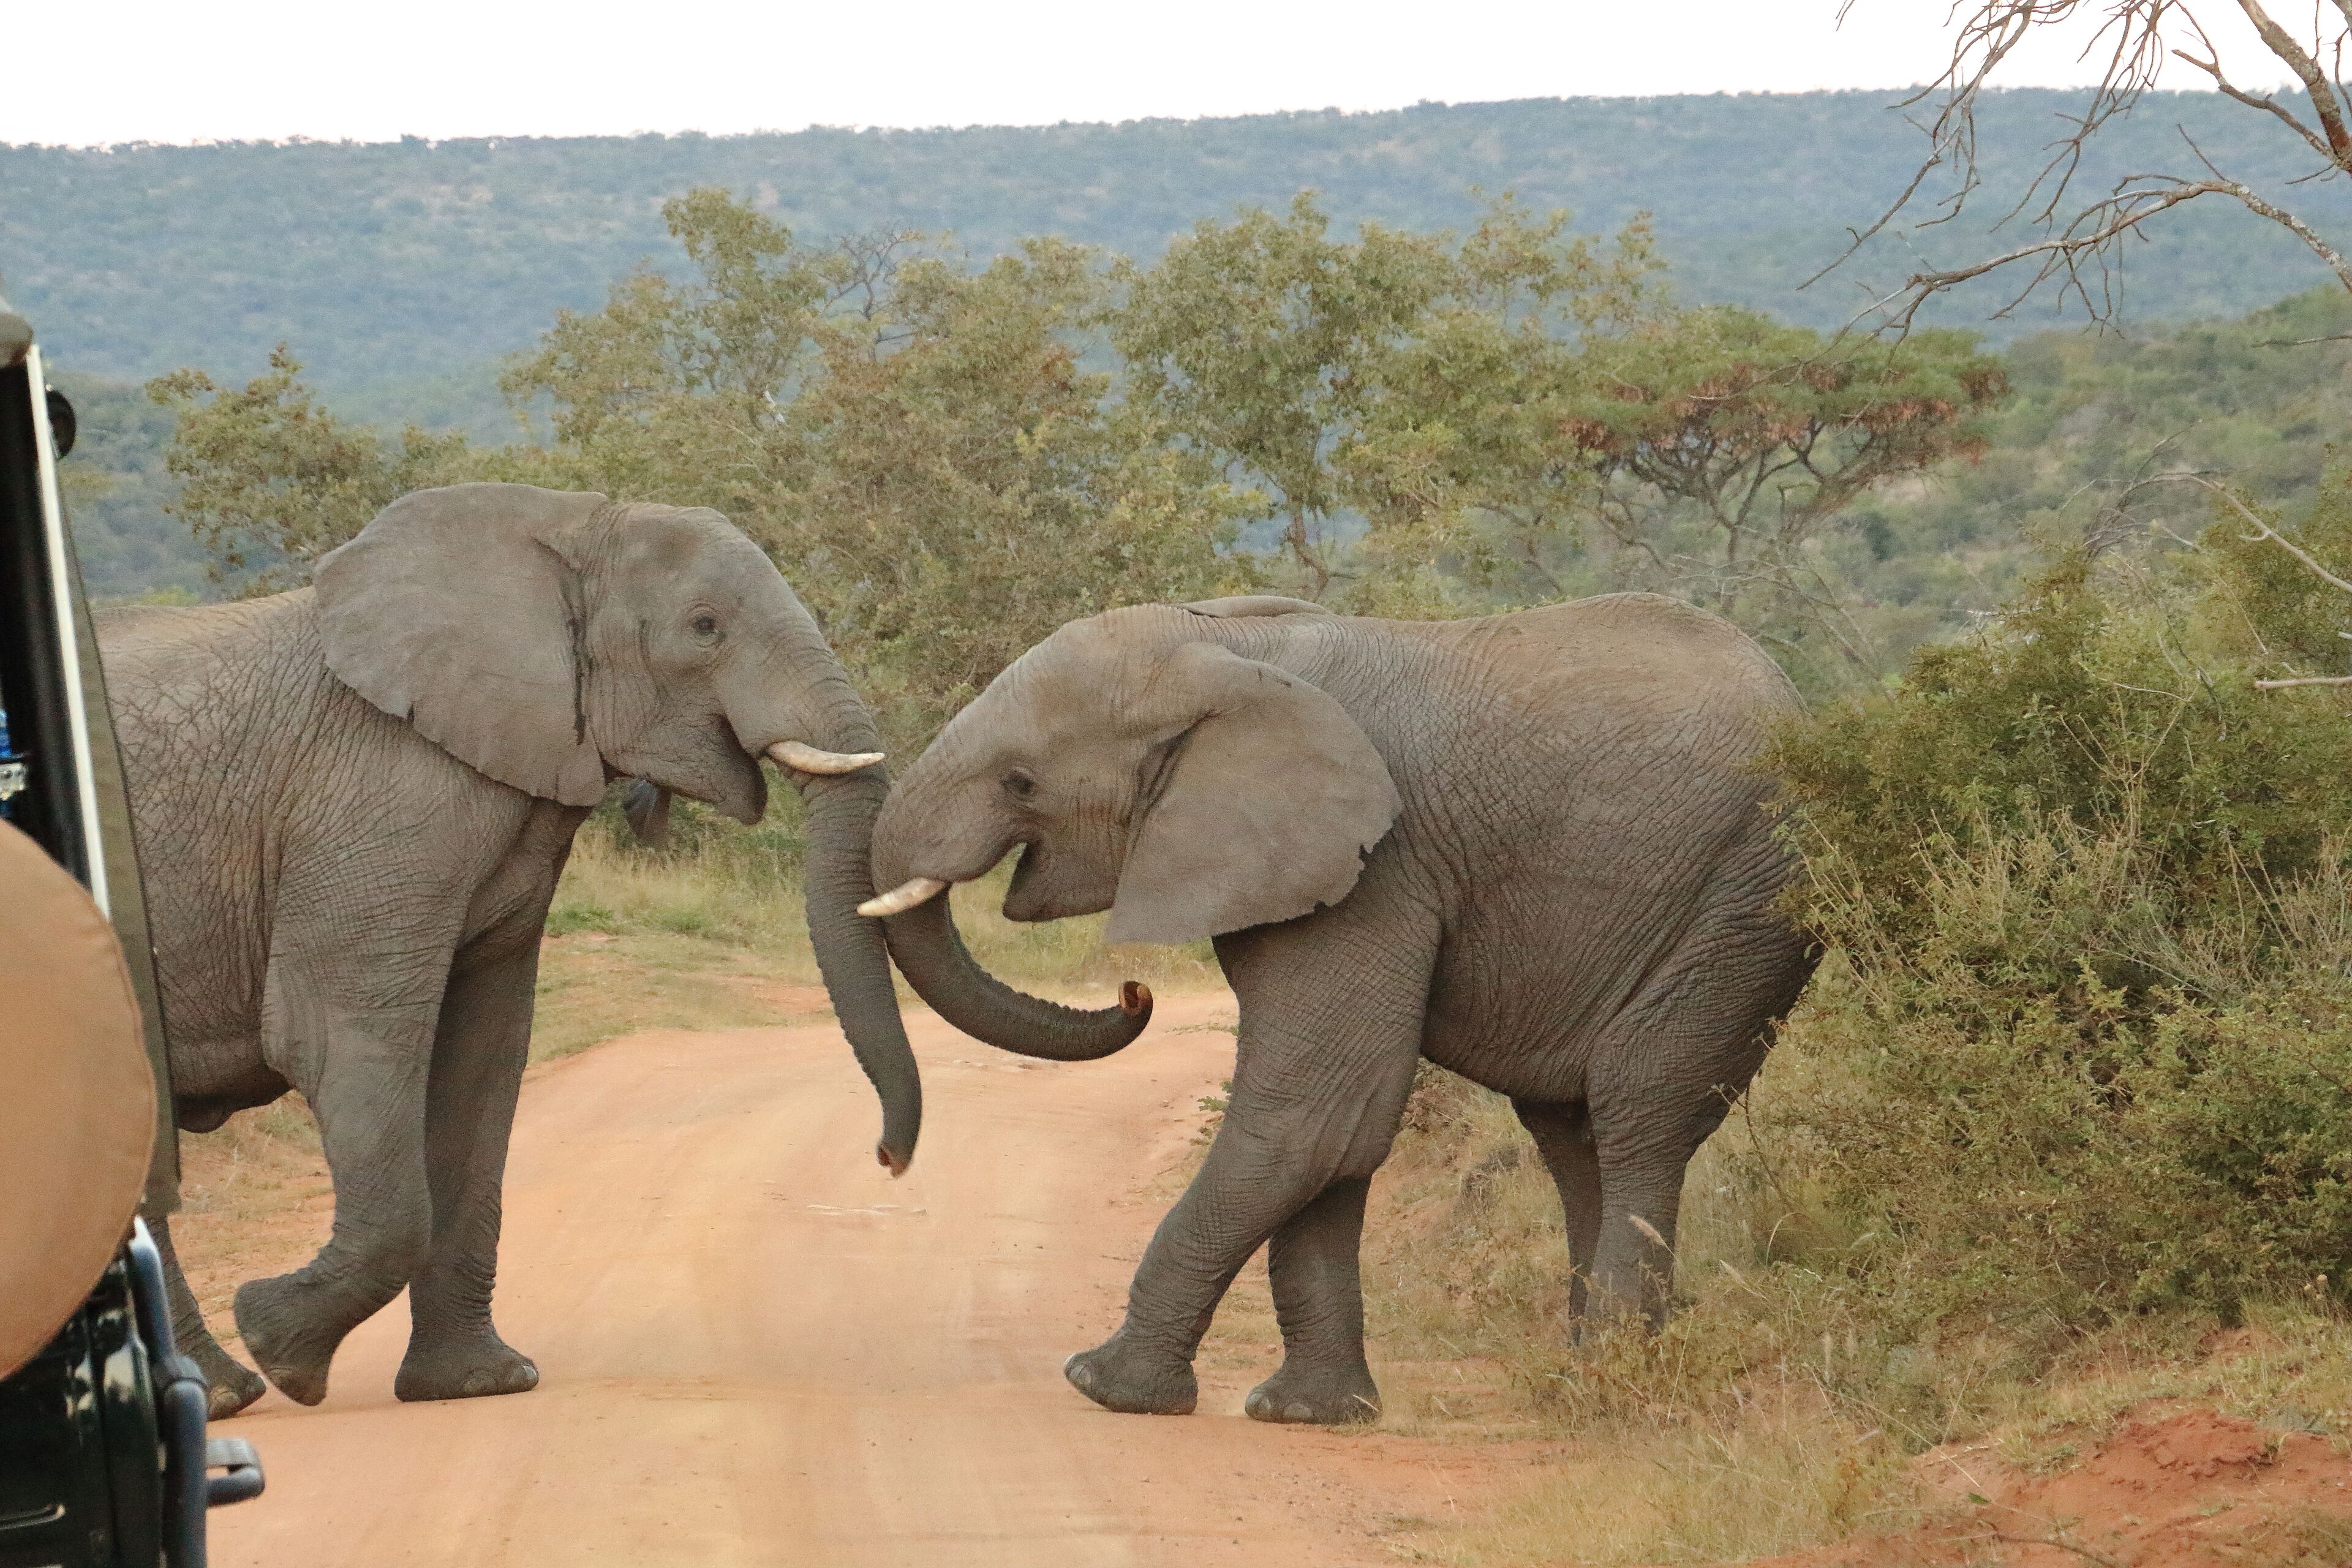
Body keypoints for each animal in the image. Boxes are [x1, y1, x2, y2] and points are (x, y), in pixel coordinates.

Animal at [99, 482, 928, 1418]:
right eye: (706, 626)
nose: (887, 1159)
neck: (564, 526)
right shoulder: (376, 794)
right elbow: (329, 1037)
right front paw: (283, 1349)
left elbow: (484, 1056)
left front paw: (478, 1385)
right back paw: (229, 1390)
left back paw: (219, 1391)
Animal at [858, 591, 1819, 1426]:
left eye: (1020, 782)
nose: (1135, 993)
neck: (1226, 653)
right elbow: (1343, 1129)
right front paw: (1308, 1414)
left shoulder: (1379, 864)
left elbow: (1313, 1114)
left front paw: (1101, 1386)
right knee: (1571, 1131)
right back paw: (1585, 1372)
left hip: (1746, 899)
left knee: (1639, 1108)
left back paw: (1604, 1389)